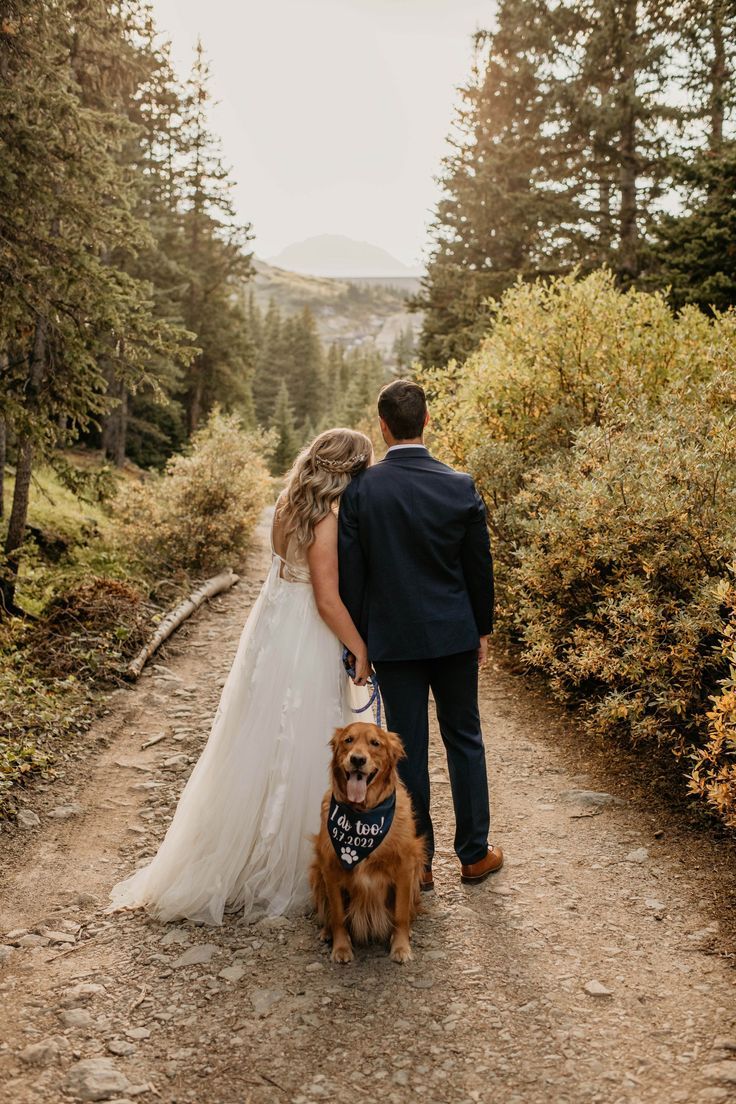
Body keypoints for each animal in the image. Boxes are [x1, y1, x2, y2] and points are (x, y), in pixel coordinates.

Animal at [308, 719, 425, 962]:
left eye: (375, 743)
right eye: (348, 740)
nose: (357, 759)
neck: (363, 812)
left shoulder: (405, 867)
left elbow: (400, 914)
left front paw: (401, 947)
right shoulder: (330, 868)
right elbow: (338, 915)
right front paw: (341, 947)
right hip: (316, 871)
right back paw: (326, 932)